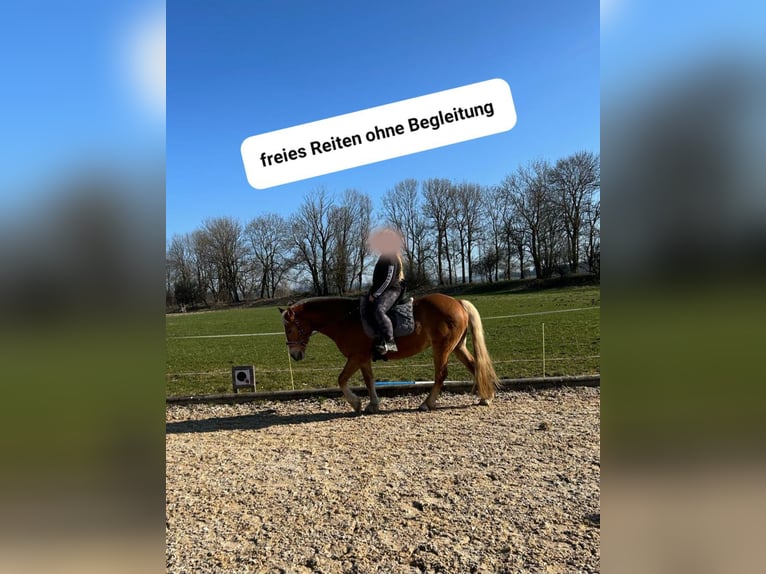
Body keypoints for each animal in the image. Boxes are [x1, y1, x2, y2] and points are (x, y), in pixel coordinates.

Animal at [279, 293, 499, 414]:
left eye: (289, 329)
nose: (294, 355)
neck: (345, 319)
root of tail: (457, 302)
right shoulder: (363, 358)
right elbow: (369, 380)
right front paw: (372, 405)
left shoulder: (356, 356)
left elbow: (341, 379)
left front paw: (356, 403)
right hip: (457, 347)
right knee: (474, 366)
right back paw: (486, 397)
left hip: (442, 348)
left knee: (441, 375)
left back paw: (427, 403)